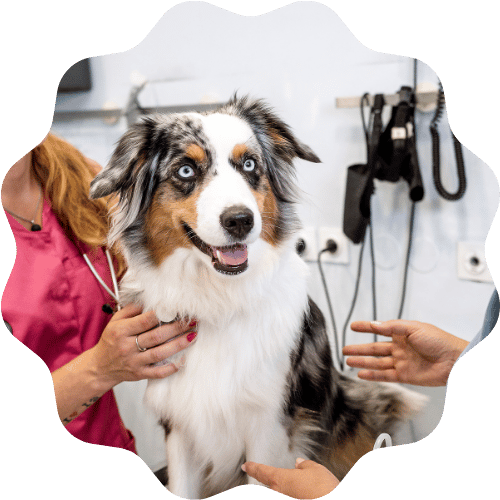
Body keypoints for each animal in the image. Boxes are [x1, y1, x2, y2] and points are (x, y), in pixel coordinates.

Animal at [91, 95, 426, 498]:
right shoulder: (179, 426)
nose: (240, 220)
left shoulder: (268, 429)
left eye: (249, 164)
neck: (219, 299)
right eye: (185, 171)